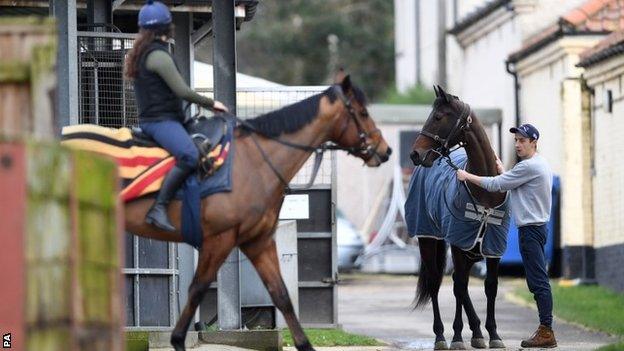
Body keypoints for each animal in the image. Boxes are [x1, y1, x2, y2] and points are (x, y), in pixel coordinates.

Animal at [408, 86, 510, 351]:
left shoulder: (493, 247)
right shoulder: (458, 241)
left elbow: (490, 287)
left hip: (470, 250)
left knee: (458, 282)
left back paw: (476, 331)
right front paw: (456, 337)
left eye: (438, 117)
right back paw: (441, 336)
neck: (485, 186)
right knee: (437, 282)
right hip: (429, 239)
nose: (415, 153)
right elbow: (460, 287)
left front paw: (493, 333)